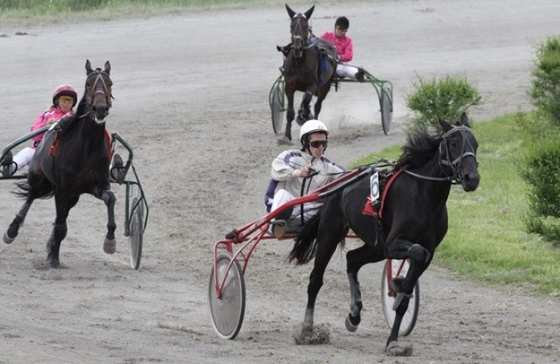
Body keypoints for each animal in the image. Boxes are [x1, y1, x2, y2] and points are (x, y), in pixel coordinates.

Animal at [2, 59, 117, 268]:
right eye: (88, 83)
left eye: (109, 83)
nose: (100, 109)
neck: (87, 147)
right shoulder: (63, 188)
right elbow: (61, 226)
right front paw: (54, 259)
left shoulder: (98, 185)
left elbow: (110, 199)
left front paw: (110, 242)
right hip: (38, 175)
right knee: (32, 195)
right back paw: (12, 230)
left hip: (73, 195)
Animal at [280, 4, 336, 144]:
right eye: (291, 25)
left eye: (306, 26)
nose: (297, 48)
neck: (299, 61)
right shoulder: (289, 86)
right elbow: (290, 112)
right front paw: (286, 136)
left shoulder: (313, 85)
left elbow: (306, 99)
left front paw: (303, 115)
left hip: (325, 86)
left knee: (317, 106)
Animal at [288, 114, 482, 356]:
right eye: (454, 143)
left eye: (475, 144)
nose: (472, 178)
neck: (425, 195)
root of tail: (335, 185)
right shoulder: (395, 242)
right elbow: (418, 253)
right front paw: (394, 325)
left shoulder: (426, 248)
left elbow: (415, 272)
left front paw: (396, 313)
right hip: (330, 234)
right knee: (316, 279)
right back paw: (308, 329)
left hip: (376, 246)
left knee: (352, 260)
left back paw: (354, 314)